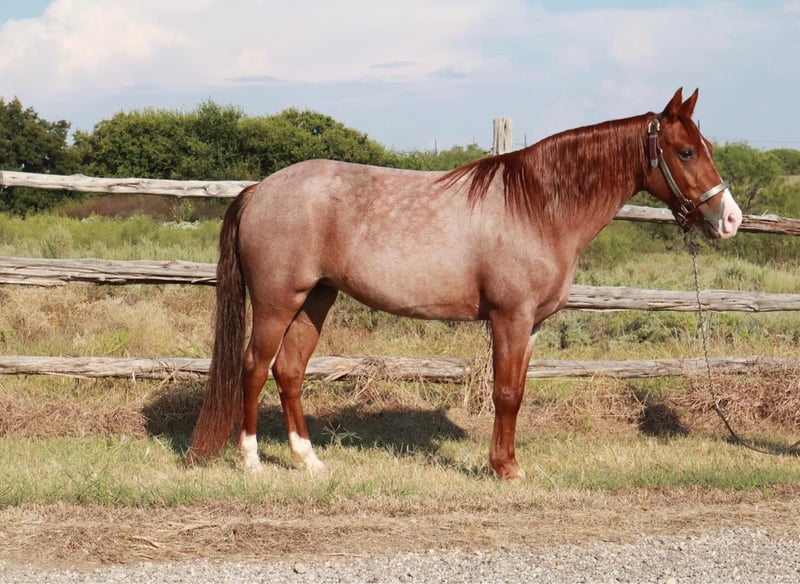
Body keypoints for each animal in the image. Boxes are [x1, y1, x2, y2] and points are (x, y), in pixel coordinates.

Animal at [187, 88, 742, 479]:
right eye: (686, 151)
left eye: (707, 147)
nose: (731, 219)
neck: (537, 207)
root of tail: (260, 189)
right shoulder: (510, 317)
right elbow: (506, 392)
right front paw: (505, 469)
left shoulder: (531, 325)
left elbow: (517, 389)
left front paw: (508, 462)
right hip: (277, 302)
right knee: (254, 368)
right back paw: (252, 462)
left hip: (315, 300)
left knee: (290, 372)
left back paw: (309, 461)